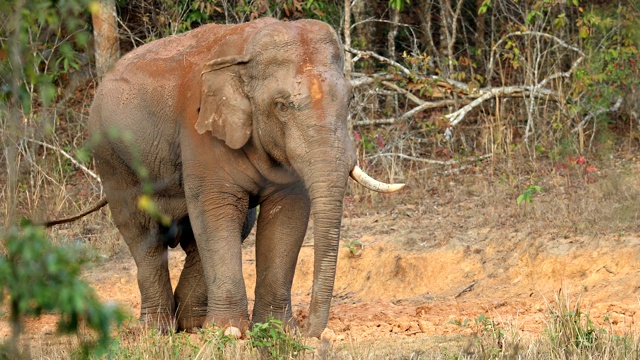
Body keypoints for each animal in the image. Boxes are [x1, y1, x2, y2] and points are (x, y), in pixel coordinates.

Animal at [80, 16, 402, 338]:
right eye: (281, 105)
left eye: (350, 100)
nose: (309, 330)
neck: (245, 53)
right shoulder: (201, 132)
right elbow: (216, 210)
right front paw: (229, 332)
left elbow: (287, 216)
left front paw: (277, 329)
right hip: (111, 158)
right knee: (144, 233)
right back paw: (156, 330)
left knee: (208, 235)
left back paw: (192, 323)